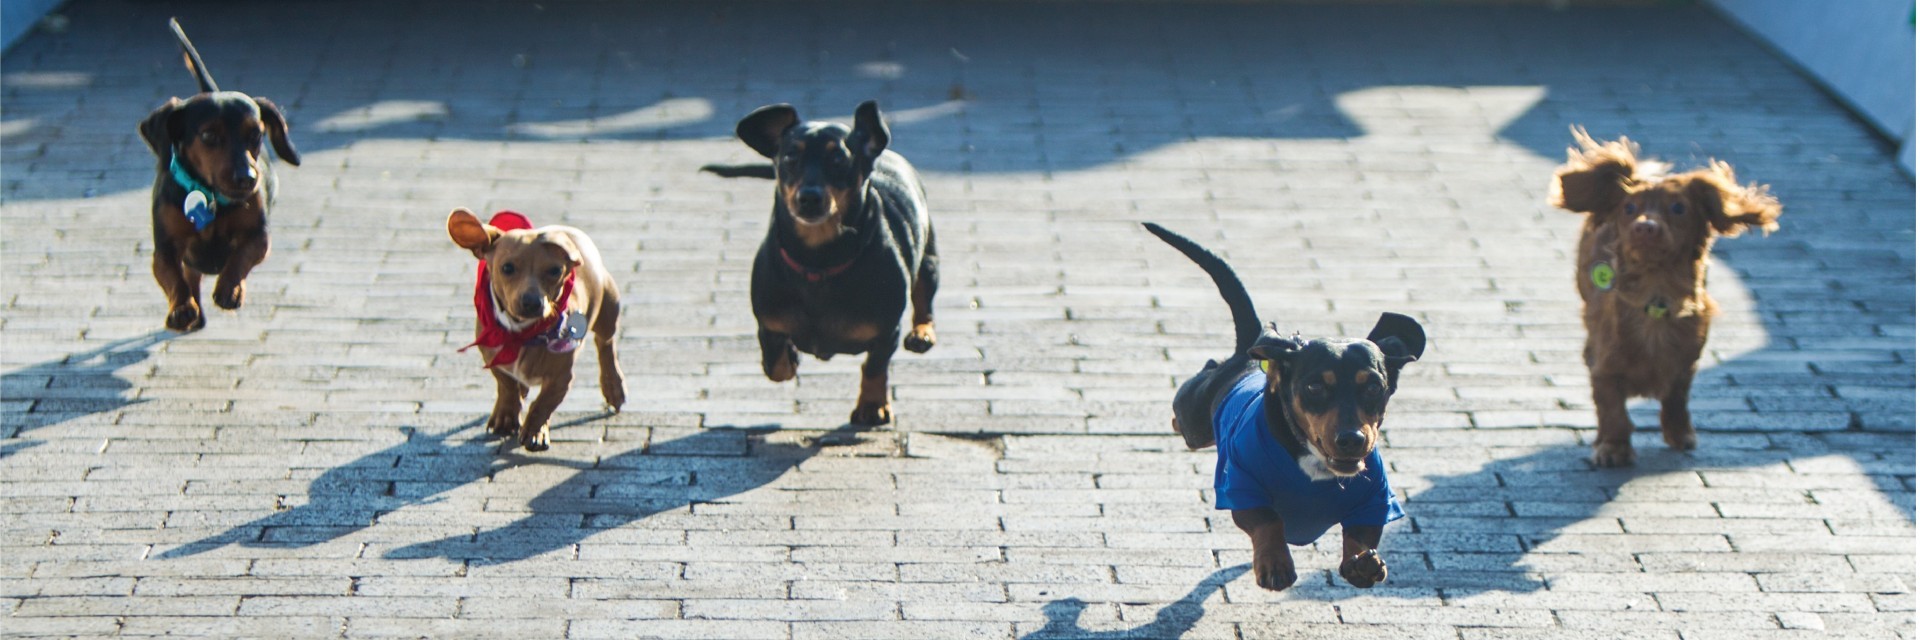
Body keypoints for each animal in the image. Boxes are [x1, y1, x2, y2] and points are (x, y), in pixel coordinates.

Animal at [1144, 221, 1420, 591]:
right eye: (1315, 386)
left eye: (1374, 386)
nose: (1352, 439)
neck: (1317, 467)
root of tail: (1250, 353)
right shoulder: (1241, 487)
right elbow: (1269, 521)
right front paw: (1274, 563)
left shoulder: (1376, 499)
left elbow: (1362, 535)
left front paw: (1362, 562)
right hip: (1196, 416)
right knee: (1193, 398)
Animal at [1551, 129, 1774, 467]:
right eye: (1629, 209)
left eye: (1679, 208)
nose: (1645, 227)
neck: (1655, 296)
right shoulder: (1605, 366)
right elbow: (1612, 409)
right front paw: (1613, 447)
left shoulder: (1686, 363)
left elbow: (1676, 398)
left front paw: (1679, 433)